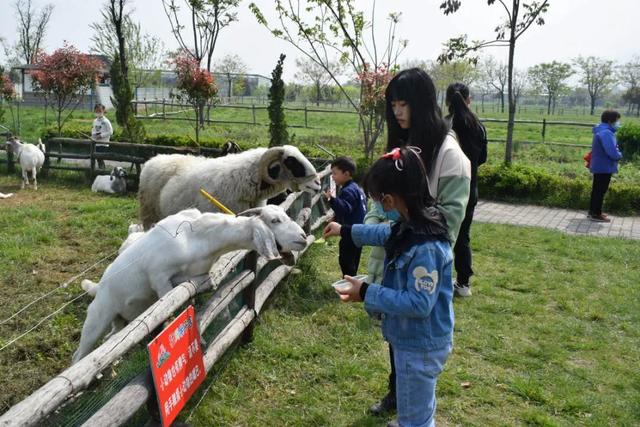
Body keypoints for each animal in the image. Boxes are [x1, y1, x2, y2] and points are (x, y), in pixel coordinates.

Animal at [72, 205, 308, 364]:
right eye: (275, 220)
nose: (303, 237)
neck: (200, 239)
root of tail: (99, 287)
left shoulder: (197, 274)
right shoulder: (158, 276)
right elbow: (172, 306)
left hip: (120, 319)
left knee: (111, 338)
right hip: (97, 318)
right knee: (80, 354)